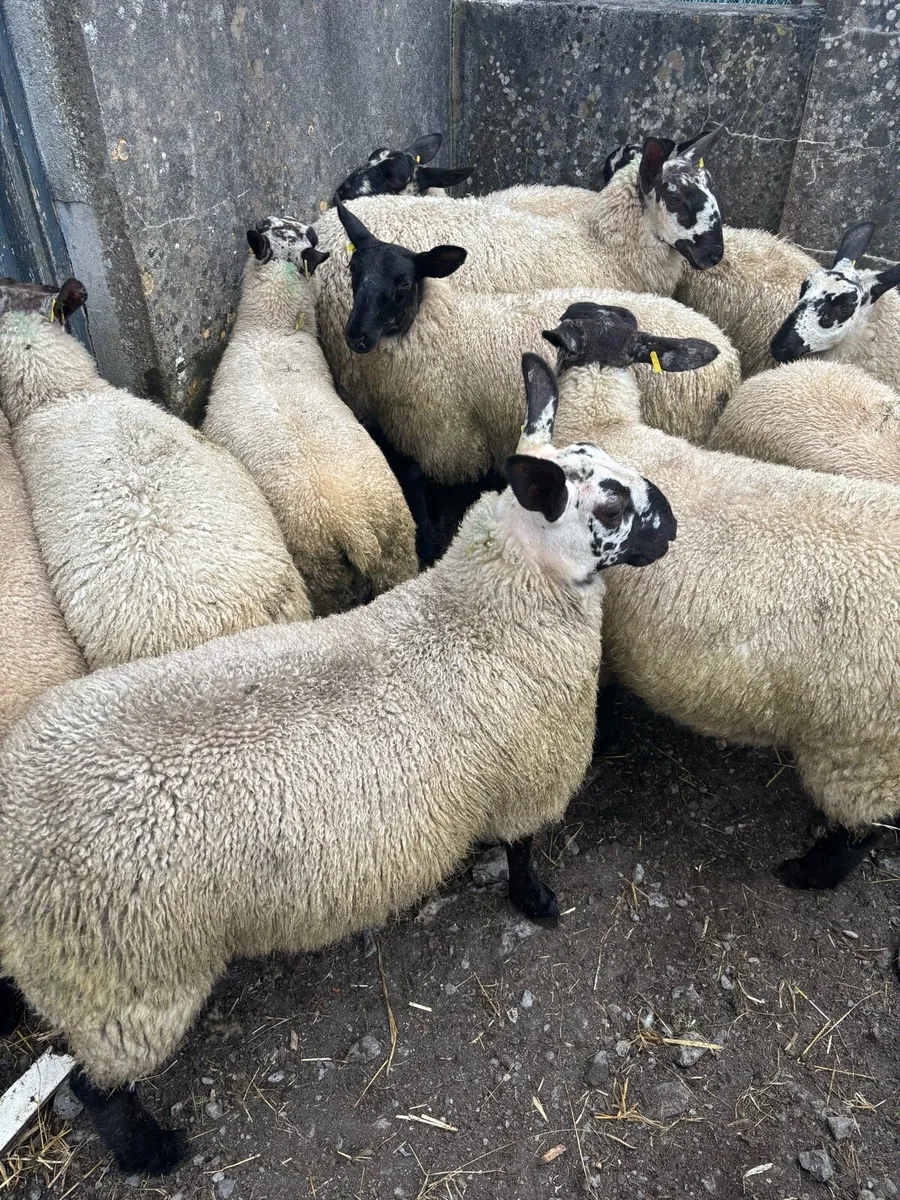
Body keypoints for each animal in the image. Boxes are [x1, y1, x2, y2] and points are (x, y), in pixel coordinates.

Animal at [0, 353, 676, 1173]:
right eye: (609, 505)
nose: (673, 524)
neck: (486, 608)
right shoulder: (529, 777)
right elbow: (522, 849)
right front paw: (536, 902)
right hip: (127, 986)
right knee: (94, 1088)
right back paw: (151, 1151)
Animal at [314, 202, 738, 492]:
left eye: (403, 282)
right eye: (353, 272)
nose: (356, 336)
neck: (445, 327)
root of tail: (730, 358)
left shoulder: (451, 449)